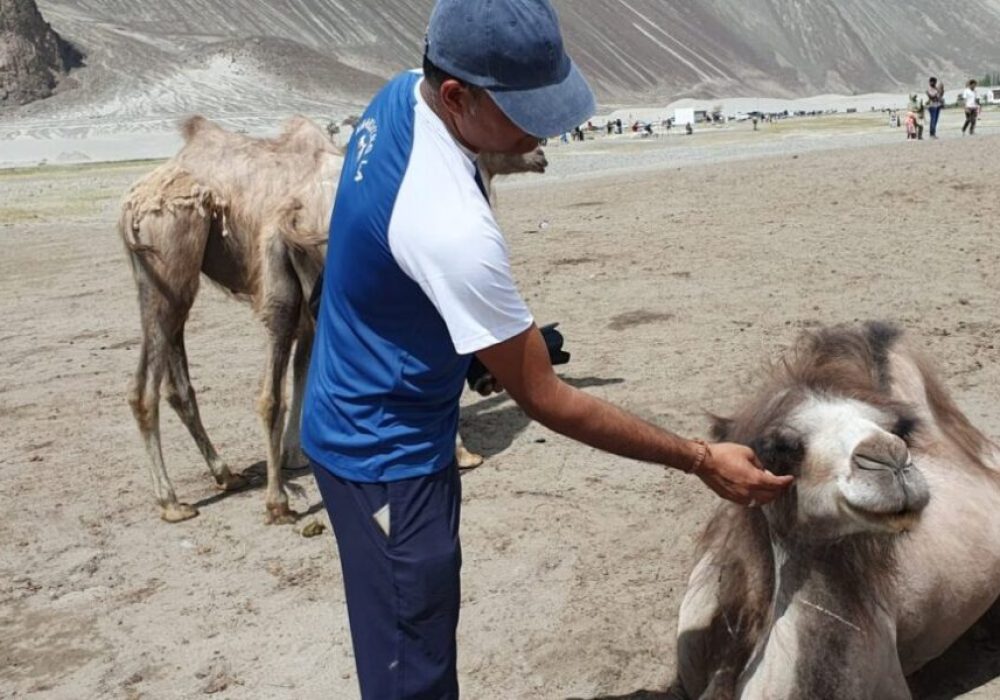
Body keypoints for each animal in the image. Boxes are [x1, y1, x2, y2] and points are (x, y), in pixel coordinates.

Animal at [119, 114, 547, 524]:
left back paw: (232, 477)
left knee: (185, 382)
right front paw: (461, 453)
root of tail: (133, 204)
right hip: (178, 257)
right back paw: (176, 502)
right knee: (150, 386)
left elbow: (303, 372)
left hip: (165, 280)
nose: (541, 151)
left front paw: (297, 455)